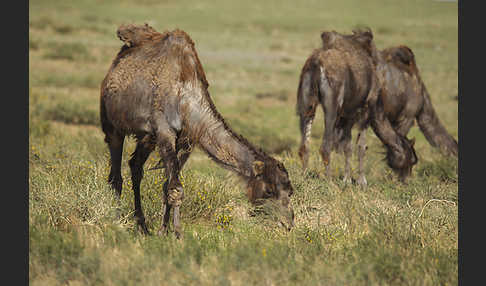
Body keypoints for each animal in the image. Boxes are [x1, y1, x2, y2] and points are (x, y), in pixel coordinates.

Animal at [100, 23, 294, 238]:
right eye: (269, 190)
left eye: (290, 191)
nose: (287, 223)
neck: (187, 100)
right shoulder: (165, 131)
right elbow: (176, 188)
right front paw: (177, 233)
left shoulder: (186, 141)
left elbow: (167, 185)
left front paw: (163, 230)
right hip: (112, 124)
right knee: (116, 174)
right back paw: (117, 221)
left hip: (147, 138)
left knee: (135, 167)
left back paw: (142, 226)